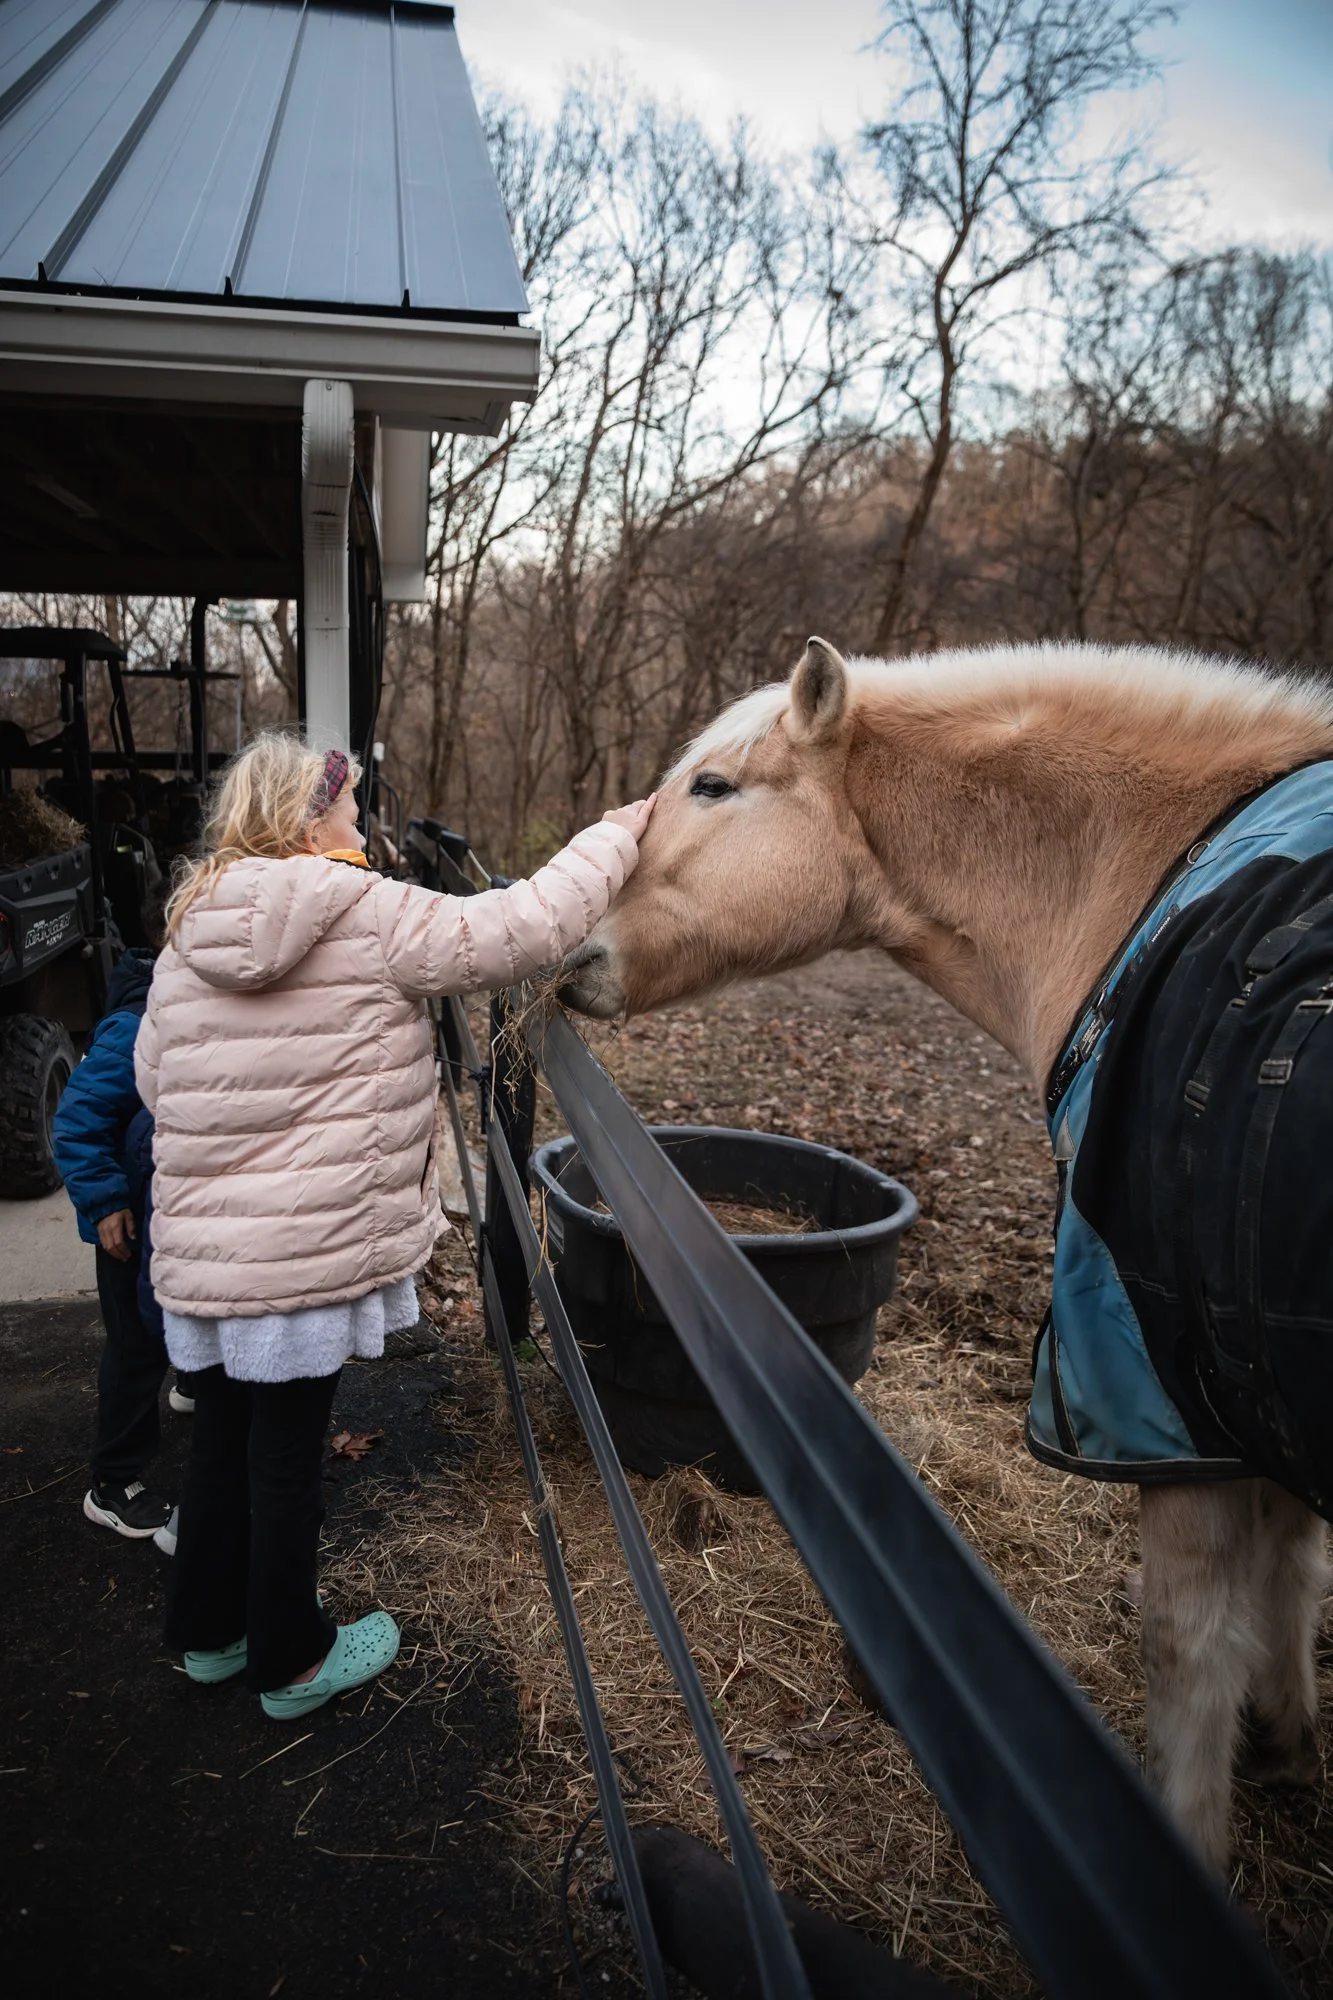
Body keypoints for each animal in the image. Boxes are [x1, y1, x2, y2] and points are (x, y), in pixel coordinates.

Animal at [559, 635, 1333, 1873]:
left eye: (713, 786)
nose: (578, 950)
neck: (1151, 881)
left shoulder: (1167, 1397)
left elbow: (1192, 1638)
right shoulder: (1232, 1371)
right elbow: (1295, 1561)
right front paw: (1286, 1739)